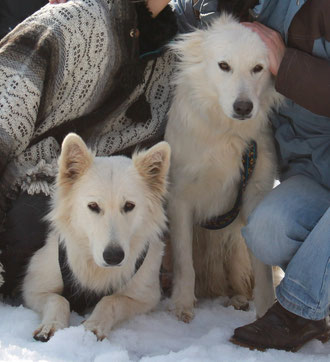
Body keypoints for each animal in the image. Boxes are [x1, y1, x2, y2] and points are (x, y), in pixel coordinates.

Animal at [21, 134, 170, 342]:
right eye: (93, 206)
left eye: (129, 206)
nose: (114, 257)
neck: (96, 268)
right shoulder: (34, 287)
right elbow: (57, 299)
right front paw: (51, 325)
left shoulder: (146, 296)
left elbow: (111, 300)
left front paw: (93, 325)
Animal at [165, 15, 282, 324]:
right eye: (224, 66)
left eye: (258, 68)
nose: (243, 107)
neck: (227, 133)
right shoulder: (180, 198)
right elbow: (184, 261)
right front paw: (182, 306)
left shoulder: (254, 195)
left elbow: (262, 269)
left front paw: (266, 310)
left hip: (235, 243)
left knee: (241, 279)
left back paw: (239, 299)